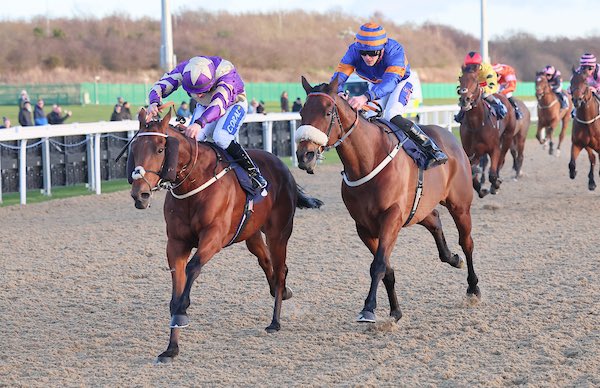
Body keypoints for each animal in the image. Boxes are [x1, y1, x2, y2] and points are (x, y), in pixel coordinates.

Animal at [128, 105, 322, 360]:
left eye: (160, 149)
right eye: (134, 149)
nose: (139, 194)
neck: (193, 182)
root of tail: (281, 166)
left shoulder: (214, 237)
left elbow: (192, 269)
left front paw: (182, 311)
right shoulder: (176, 244)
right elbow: (176, 290)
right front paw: (171, 347)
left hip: (278, 233)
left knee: (280, 269)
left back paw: (275, 321)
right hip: (251, 234)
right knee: (266, 261)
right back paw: (282, 291)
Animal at [292, 76, 480, 324]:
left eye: (327, 112)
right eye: (302, 112)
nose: (305, 155)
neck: (368, 159)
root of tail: (451, 137)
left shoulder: (391, 217)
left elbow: (379, 264)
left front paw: (368, 308)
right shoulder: (364, 226)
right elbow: (386, 269)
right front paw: (395, 311)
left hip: (460, 205)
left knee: (467, 242)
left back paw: (473, 288)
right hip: (418, 209)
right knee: (435, 220)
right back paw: (452, 258)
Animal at [458, 66, 516, 197]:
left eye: (475, 80)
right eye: (460, 79)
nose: (465, 99)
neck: (476, 124)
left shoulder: (494, 148)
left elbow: (492, 175)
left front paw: (495, 185)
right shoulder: (469, 152)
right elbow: (472, 174)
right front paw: (481, 189)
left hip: (508, 137)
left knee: (501, 161)